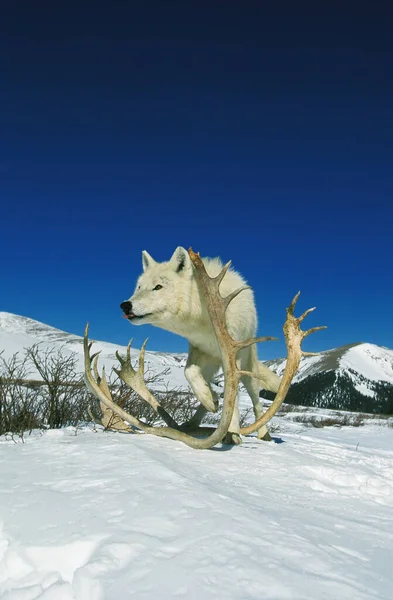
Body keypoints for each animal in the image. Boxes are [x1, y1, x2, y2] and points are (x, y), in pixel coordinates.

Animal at [118, 245, 278, 440]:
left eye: (158, 287)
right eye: (139, 287)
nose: (125, 305)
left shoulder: (233, 355)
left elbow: (233, 397)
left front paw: (232, 433)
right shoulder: (198, 348)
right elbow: (189, 372)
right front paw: (210, 399)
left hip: (249, 370)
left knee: (256, 402)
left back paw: (264, 434)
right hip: (212, 363)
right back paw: (200, 413)